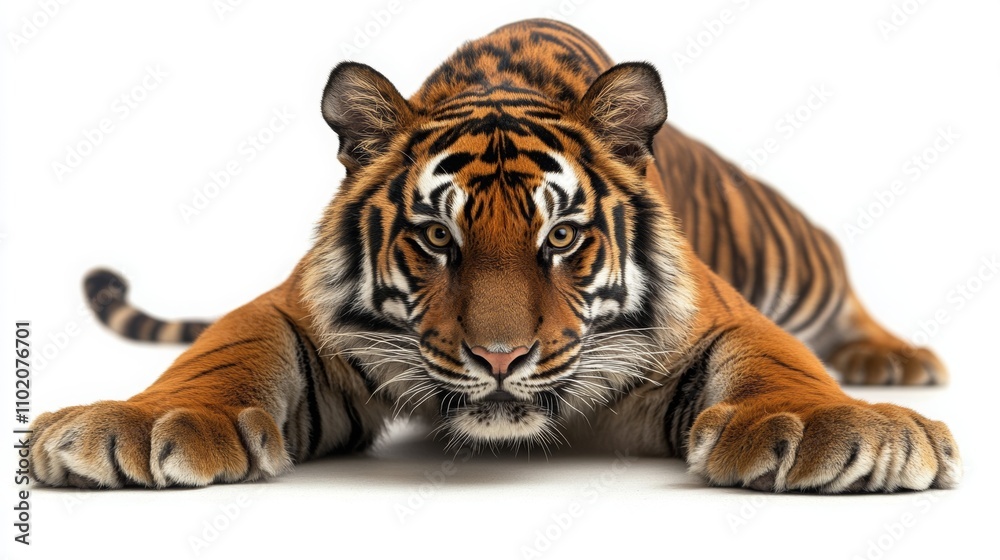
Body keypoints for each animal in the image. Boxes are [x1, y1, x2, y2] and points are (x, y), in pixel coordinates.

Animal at [29, 19, 960, 493]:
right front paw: (132, 426)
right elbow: (221, 354)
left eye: (562, 237)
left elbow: (781, 364)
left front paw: (851, 432)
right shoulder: (297, 310)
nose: (501, 358)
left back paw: (897, 360)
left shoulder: (716, 311)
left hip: (797, 250)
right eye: (439, 236)